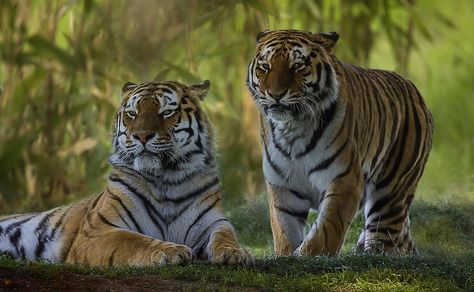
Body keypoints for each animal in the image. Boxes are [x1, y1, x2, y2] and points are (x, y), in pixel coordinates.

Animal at [0, 78, 254, 266]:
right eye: (132, 114)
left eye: (166, 113)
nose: (141, 135)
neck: (167, 180)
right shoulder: (98, 230)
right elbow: (133, 240)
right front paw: (172, 251)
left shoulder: (214, 222)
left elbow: (225, 236)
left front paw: (235, 254)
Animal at [246, 29, 436, 256]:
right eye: (265, 67)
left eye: (298, 66)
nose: (275, 95)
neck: (292, 128)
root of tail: (413, 89)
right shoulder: (283, 186)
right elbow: (284, 229)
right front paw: (287, 254)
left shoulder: (345, 179)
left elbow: (327, 229)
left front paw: (308, 254)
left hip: (391, 190)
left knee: (385, 237)